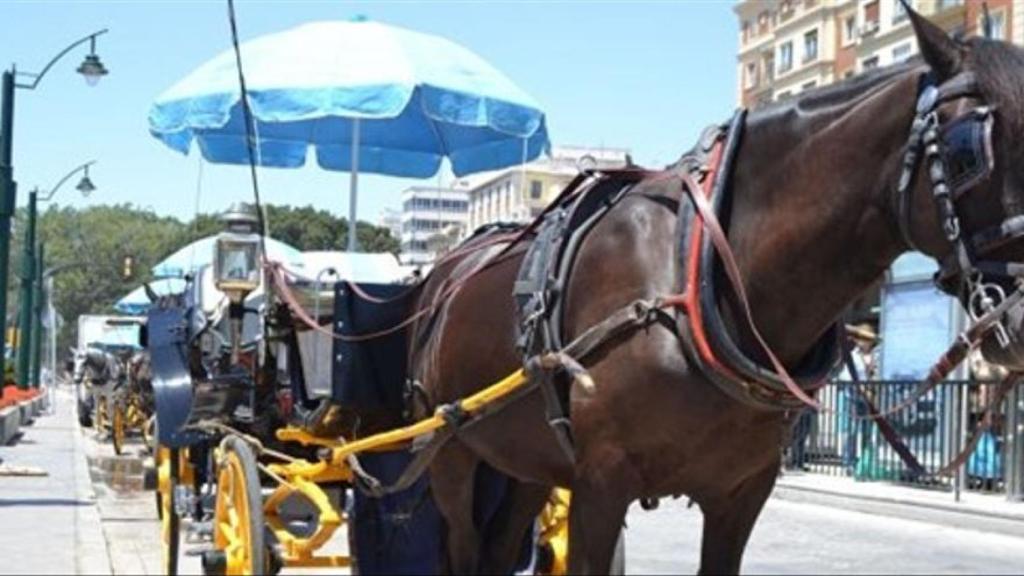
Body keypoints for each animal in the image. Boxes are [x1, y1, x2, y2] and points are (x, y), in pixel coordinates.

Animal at [407, 9, 1024, 574]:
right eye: (969, 152)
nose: (1019, 321)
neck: (698, 272)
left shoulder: (740, 493)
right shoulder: (599, 485)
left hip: (524, 456)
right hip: (448, 448)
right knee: (463, 542)